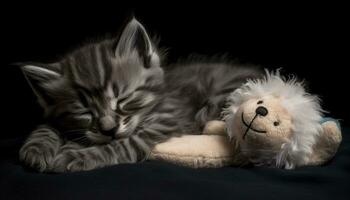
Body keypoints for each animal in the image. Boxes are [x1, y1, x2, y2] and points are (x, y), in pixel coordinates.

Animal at [17, 18, 262, 172]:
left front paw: (77, 155)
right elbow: (47, 126)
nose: (109, 129)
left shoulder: (168, 120)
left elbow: (123, 144)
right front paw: (36, 149)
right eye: (85, 111)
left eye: (122, 100)